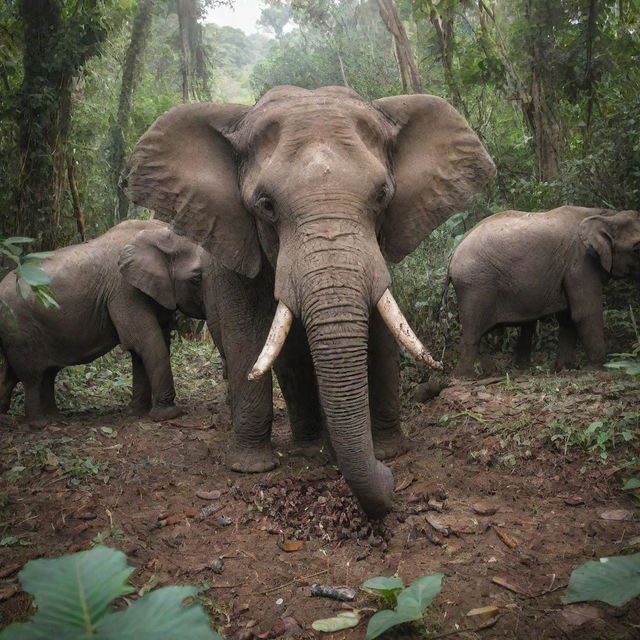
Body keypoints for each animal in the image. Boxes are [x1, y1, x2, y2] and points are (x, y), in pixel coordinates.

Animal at [0, 220, 206, 424]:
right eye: (197, 278)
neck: (158, 231)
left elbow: (148, 344)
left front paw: (135, 412)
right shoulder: (124, 290)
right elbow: (146, 341)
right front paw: (168, 415)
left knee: (37, 373)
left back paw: (51, 418)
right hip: (19, 325)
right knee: (33, 375)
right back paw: (39, 424)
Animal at [125, 85, 496, 516]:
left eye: (382, 195)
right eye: (266, 206)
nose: (390, 483)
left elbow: (382, 334)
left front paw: (388, 453)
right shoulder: (235, 247)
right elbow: (247, 339)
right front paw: (250, 468)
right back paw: (302, 448)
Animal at [448, 205, 640, 378]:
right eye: (636, 248)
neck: (607, 215)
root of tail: (454, 252)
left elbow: (568, 318)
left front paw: (563, 369)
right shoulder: (579, 263)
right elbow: (585, 312)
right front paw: (599, 370)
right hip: (475, 286)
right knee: (473, 333)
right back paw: (464, 378)